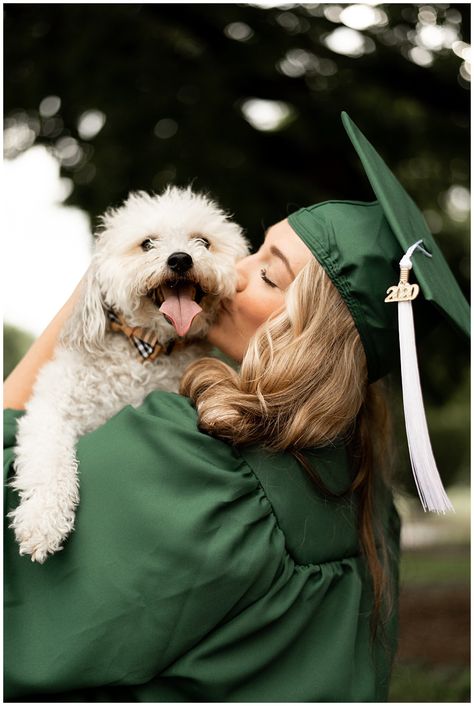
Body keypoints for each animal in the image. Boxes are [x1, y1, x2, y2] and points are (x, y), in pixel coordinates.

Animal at [9, 186, 250, 560]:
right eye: (147, 243)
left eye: (203, 242)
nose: (180, 259)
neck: (146, 350)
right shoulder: (52, 409)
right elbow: (49, 460)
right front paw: (43, 522)